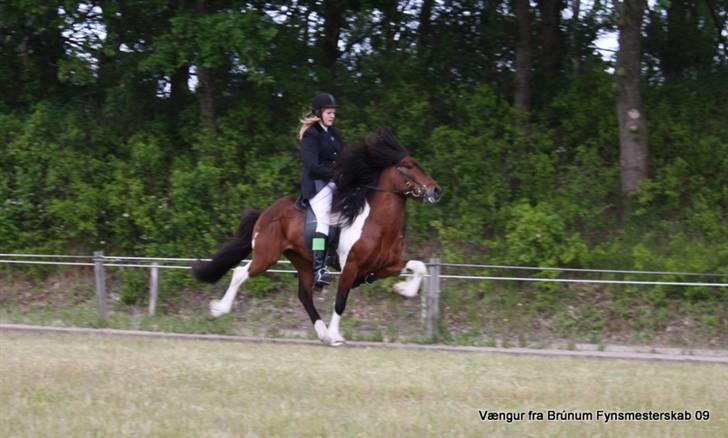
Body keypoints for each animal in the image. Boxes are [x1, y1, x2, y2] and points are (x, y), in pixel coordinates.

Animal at [191, 129, 440, 346]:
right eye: (408, 166)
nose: (436, 190)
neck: (379, 223)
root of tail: (266, 212)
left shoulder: (384, 265)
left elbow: (419, 267)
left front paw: (403, 289)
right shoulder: (351, 267)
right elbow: (340, 302)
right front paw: (336, 335)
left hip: (302, 260)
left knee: (304, 295)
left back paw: (322, 334)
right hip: (266, 255)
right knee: (240, 273)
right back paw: (218, 310)